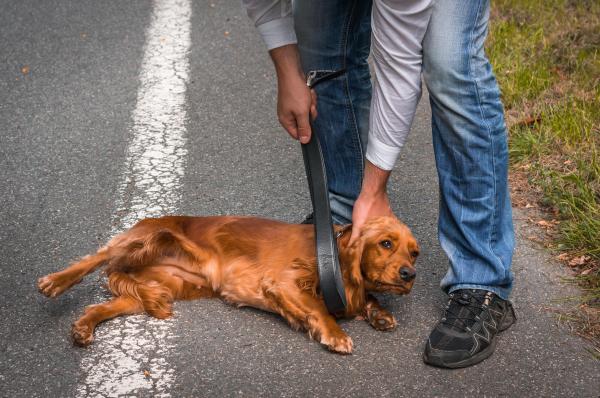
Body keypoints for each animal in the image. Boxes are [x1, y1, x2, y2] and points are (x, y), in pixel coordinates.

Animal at [38, 216, 418, 352]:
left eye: (414, 253)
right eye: (385, 243)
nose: (409, 275)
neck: (334, 253)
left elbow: (362, 299)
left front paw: (378, 312)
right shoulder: (283, 281)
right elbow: (319, 308)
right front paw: (336, 335)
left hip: (161, 287)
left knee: (106, 304)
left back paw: (83, 328)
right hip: (147, 237)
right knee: (99, 257)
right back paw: (55, 281)